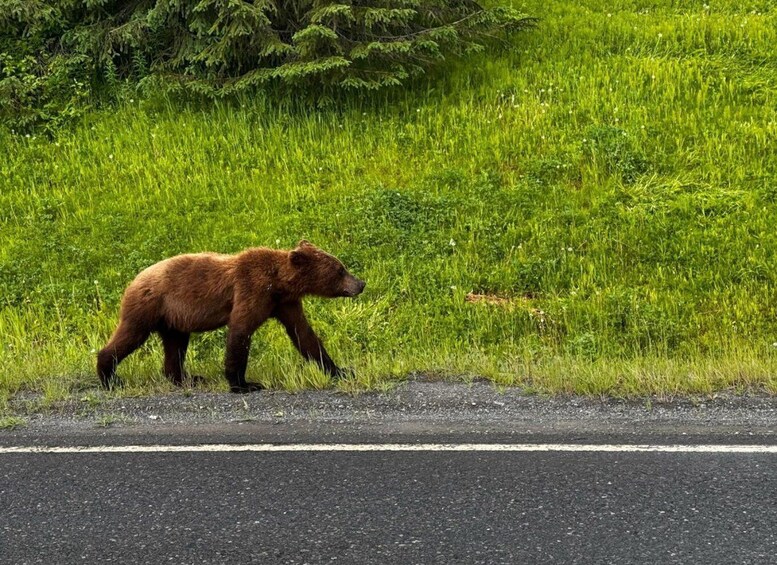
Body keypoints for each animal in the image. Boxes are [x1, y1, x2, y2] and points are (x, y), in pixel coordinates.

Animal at [97, 240, 365, 393]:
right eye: (340, 270)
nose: (360, 284)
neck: (278, 283)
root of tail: (133, 280)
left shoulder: (284, 303)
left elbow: (304, 335)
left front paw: (340, 370)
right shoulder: (252, 290)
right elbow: (240, 330)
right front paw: (244, 384)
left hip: (174, 318)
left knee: (176, 345)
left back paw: (187, 378)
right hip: (149, 306)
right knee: (131, 335)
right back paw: (110, 378)